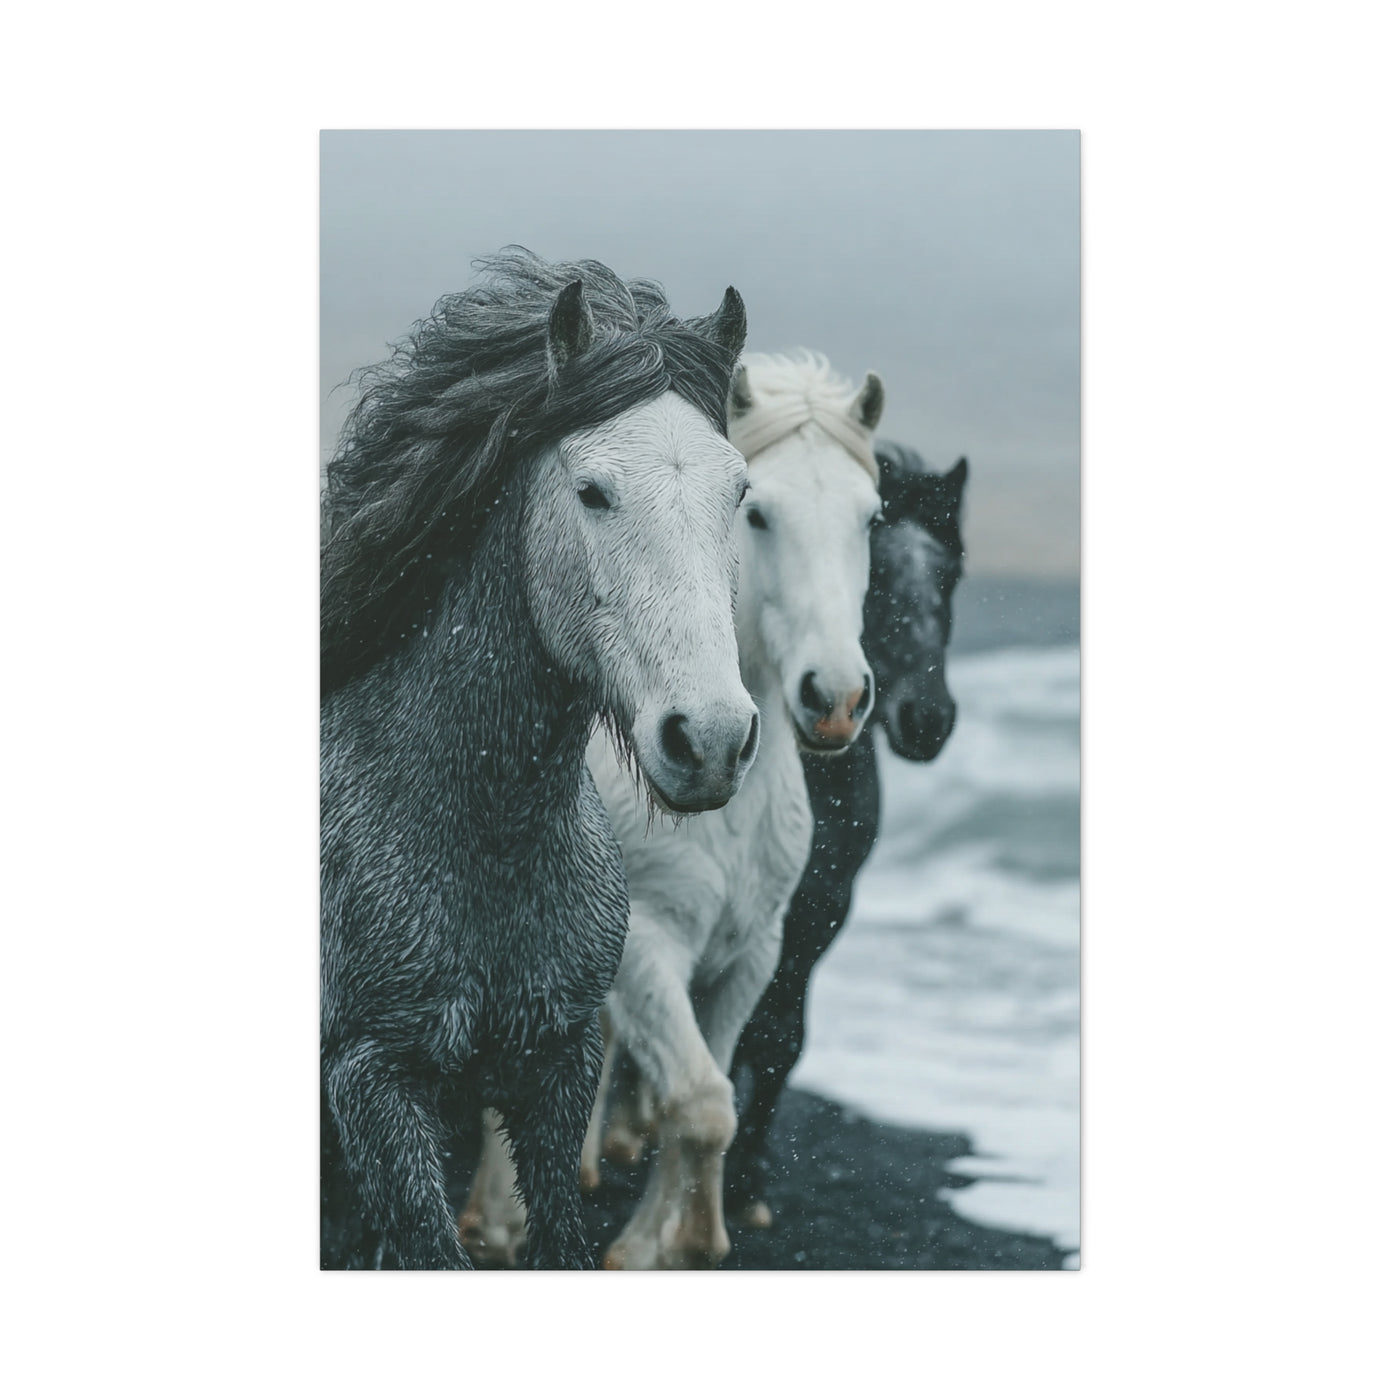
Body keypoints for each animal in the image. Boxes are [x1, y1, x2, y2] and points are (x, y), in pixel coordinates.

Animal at [320, 249, 758, 1270]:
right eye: (592, 491)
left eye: (740, 495)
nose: (712, 738)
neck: (483, 841)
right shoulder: (373, 1086)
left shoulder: (556, 1068)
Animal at [459, 351, 885, 1268]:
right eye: (759, 512)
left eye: (871, 517)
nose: (835, 698)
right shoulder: (644, 946)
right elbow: (697, 1099)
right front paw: (657, 1243)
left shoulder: (749, 953)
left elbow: (708, 1095)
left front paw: (668, 1235)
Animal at [723, 442, 968, 1227]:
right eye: (878, 575)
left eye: (949, 576)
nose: (927, 718)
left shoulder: (821, 910)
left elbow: (780, 1039)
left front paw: (746, 1184)